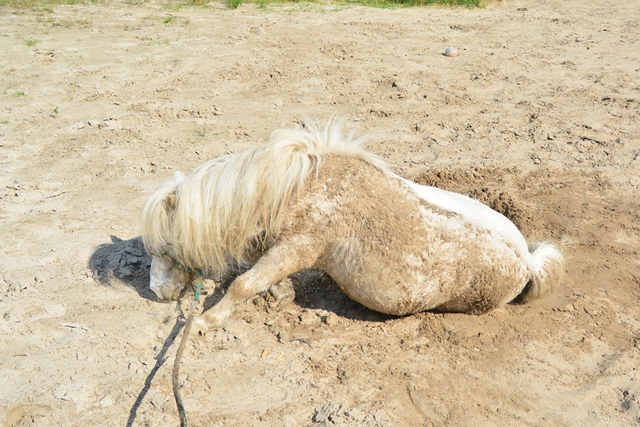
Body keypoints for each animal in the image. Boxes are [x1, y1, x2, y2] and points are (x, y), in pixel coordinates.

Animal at [139, 119, 560, 334]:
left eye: (165, 247)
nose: (157, 293)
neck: (295, 187)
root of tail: (526, 261)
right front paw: (280, 293)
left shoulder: (300, 246)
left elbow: (244, 283)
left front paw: (204, 322)